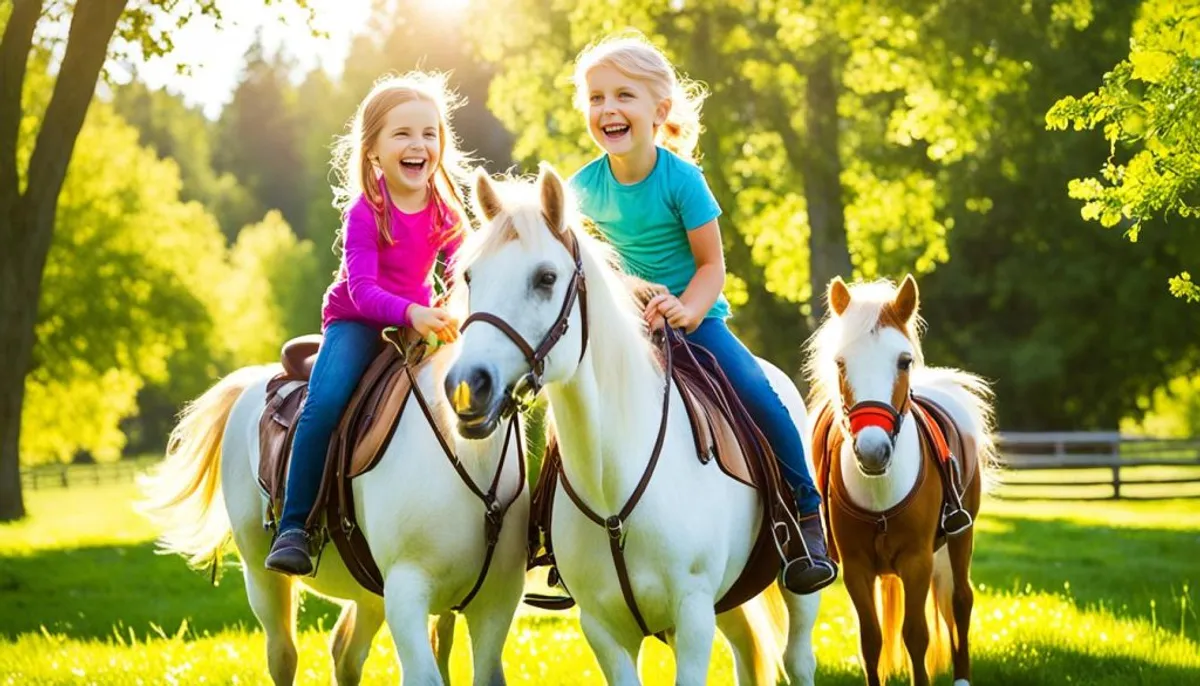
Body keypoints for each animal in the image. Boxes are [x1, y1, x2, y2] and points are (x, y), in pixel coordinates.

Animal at [138, 340, 528, 681]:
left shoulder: (487, 599)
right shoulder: (408, 589)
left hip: (370, 592)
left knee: (345, 656)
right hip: (262, 576)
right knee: (283, 656)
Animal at [444, 167, 825, 686]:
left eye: (546, 277)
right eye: (470, 276)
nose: (467, 387)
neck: (613, 490)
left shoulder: (693, 614)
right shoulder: (603, 628)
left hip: (796, 589)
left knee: (797, 656)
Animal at [806, 274, 993, 686]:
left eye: (904, 361)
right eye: (840, 362)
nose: (872, 450)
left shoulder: (917, 560)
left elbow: (916, 635)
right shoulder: (856, 566)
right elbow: (871, 641)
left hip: (962, 534)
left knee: (961, 600)